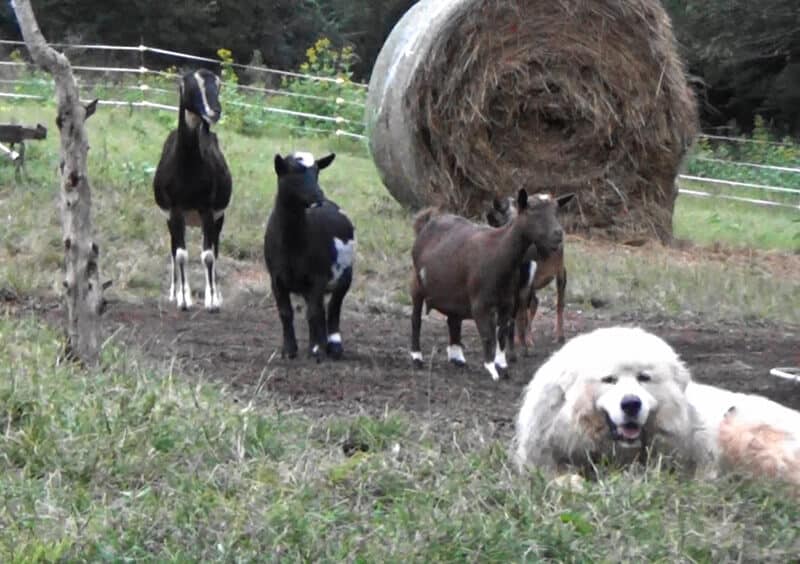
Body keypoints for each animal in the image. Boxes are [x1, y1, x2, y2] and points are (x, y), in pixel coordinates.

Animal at [152, 70, 231, 312]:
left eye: (218, 85)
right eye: (191, 85)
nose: (215, 111)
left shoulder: (208, 210)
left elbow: (209, 256)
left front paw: (212, 301)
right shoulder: (175, 210)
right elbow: (180, 255)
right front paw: (183, 300)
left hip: (218, 218)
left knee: (215, 249)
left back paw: (217, 295)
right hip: (173, 219)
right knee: (173, 250)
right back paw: (174, 293)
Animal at [264, 152, 354, 360]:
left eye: (317, 172)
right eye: (293, 171)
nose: (318, 195)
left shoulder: (318, 277)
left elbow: (313, 313)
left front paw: (314, 349)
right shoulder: (276, 278)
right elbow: (286, 313)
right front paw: (289, 350)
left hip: (345, 275)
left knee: (333, 307)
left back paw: (333, 346)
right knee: (321, 309)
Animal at [484, 192, 572, 354]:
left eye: (557, 212)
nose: (558, 234)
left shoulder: (558, 273)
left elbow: (558, 305)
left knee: (536, 305)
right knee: (530, 305)